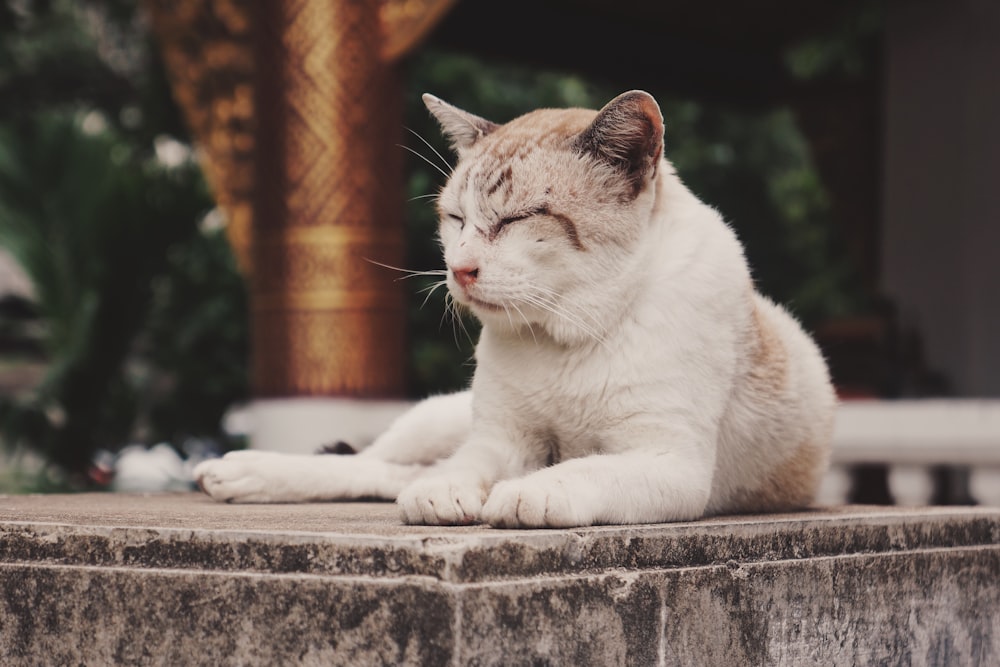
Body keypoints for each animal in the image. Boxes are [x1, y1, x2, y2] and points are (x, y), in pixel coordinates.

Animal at [195, 90, 836, 528]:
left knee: (390, 474)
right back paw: (237, 472)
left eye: (514, 220)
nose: (459, 268)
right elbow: (461, 471)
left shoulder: (666, 459)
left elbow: (576, 468)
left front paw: (529, 492)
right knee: (381, 466)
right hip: (436, 418)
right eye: (456, 219)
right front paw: (451, 497)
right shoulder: (501, 440)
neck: (571, 334)